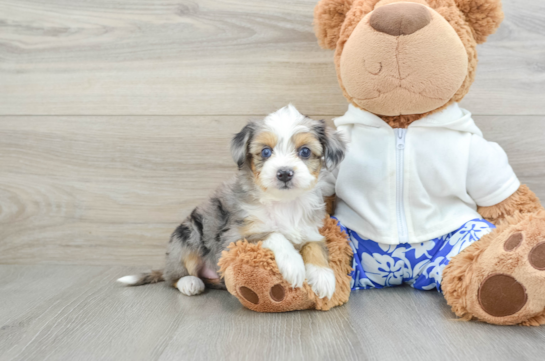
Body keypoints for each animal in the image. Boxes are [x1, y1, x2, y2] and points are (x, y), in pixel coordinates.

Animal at [117, 104, 344, 298]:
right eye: (266, 152)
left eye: (305, 151)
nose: (285, 173)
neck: (283, 203)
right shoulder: (232, 238)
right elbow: (274, 234)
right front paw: (293, 265)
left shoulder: (310, 230)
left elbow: (315, 247)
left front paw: (323, 277)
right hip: (187, 236)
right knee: (173, 276)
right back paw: (189, 282)